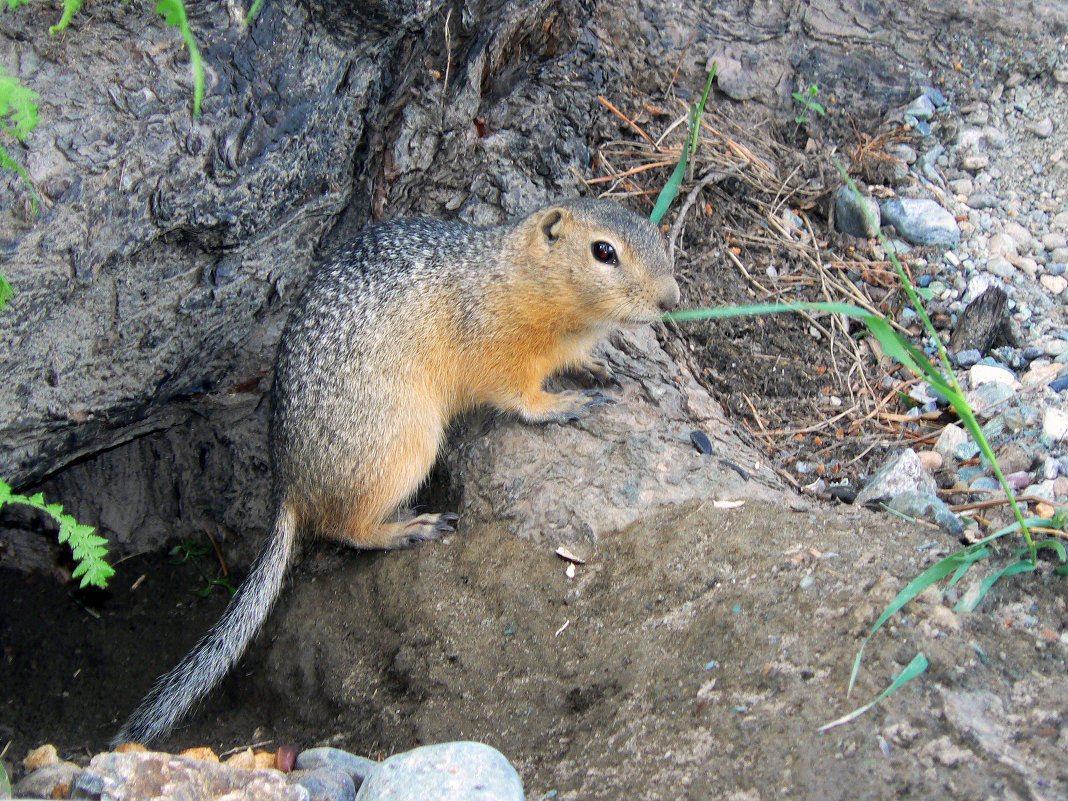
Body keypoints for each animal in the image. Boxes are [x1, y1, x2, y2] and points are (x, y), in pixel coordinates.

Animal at [114, 196, 674, 747]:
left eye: (654, 229)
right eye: (603, 252)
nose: (672, 298)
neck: (519, 274)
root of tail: (288, 483)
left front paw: (599, 366)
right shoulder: (500, 352)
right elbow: (520, 398)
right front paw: (564, 404)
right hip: (403, 445)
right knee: (345, 528)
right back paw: (410, 527)